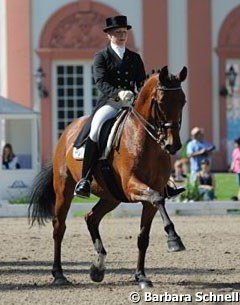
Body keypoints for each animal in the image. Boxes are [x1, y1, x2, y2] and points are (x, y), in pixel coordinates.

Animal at [28, 65, 188, 286]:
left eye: (183, 101)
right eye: (161, 102)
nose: (173, 145)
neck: (146, 140)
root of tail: (68, 131)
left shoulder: (147, 196)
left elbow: (143, 237)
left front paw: (141, 276)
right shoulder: (132, 187)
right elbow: (157, 198)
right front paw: (174, 239)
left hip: (111, 197)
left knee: (91, 218)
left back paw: (98, 267)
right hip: (64, 190)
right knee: (59, 227)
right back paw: (59, 274)